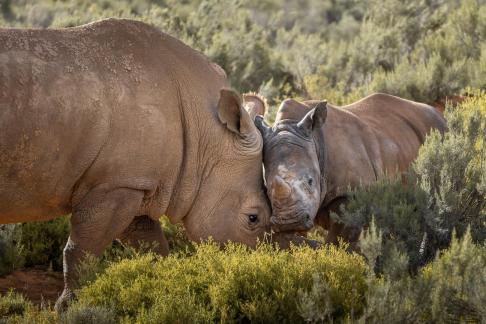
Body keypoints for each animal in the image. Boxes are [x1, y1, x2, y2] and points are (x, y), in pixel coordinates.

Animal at [256, 93, 446, 243]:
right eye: (267, 188)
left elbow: (339, 241)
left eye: (311, 181)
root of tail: (441, 115)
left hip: (438, 129)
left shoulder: (351, 193)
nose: (289, 222)